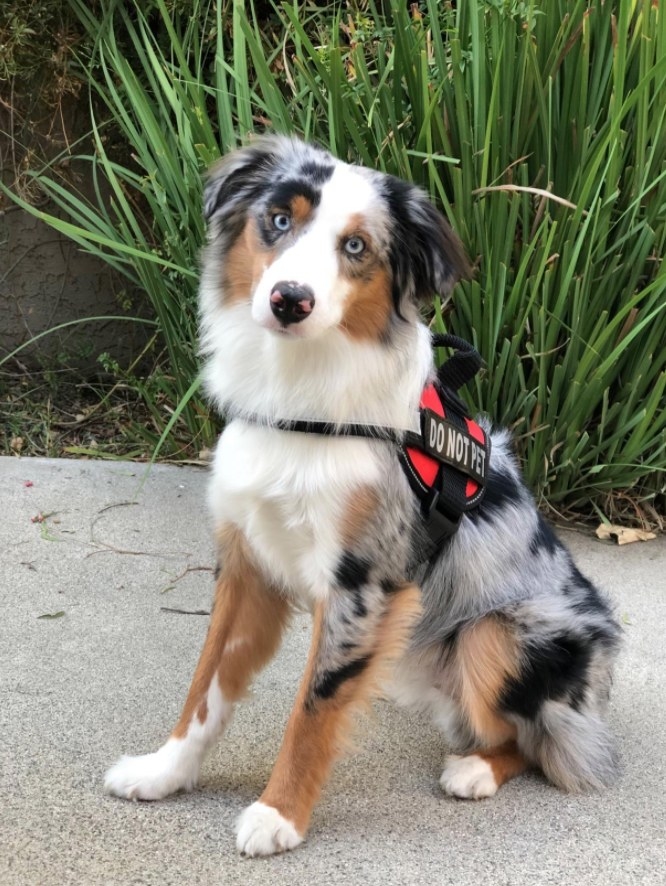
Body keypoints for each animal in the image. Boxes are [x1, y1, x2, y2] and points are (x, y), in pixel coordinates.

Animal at [102, 139, 616, 860]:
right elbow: (206, 686)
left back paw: (475, 769)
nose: (290, 300)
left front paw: (279, 815)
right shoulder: (247, 562)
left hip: (499, 635)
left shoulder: (361, 583)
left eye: (355, 246)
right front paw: (163, 772)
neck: (302, 405)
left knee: (539, 740)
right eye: (278, 221)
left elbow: (313, 706)